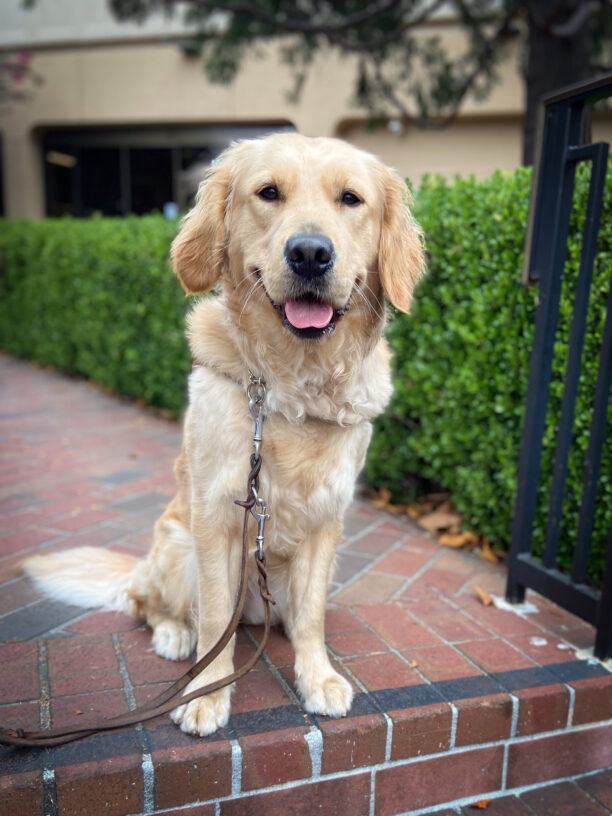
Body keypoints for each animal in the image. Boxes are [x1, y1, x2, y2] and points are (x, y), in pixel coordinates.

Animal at [23, 132, 426, 732]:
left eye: (351, 199)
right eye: (269, 192)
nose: (310, 253)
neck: (293, 382)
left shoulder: (327, 519)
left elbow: (312, 614)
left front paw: (317, 677)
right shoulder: (216, 514)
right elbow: (215, 617)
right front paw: (206, 693)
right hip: (175, 547)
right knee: (147, 604)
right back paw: (173, 635)